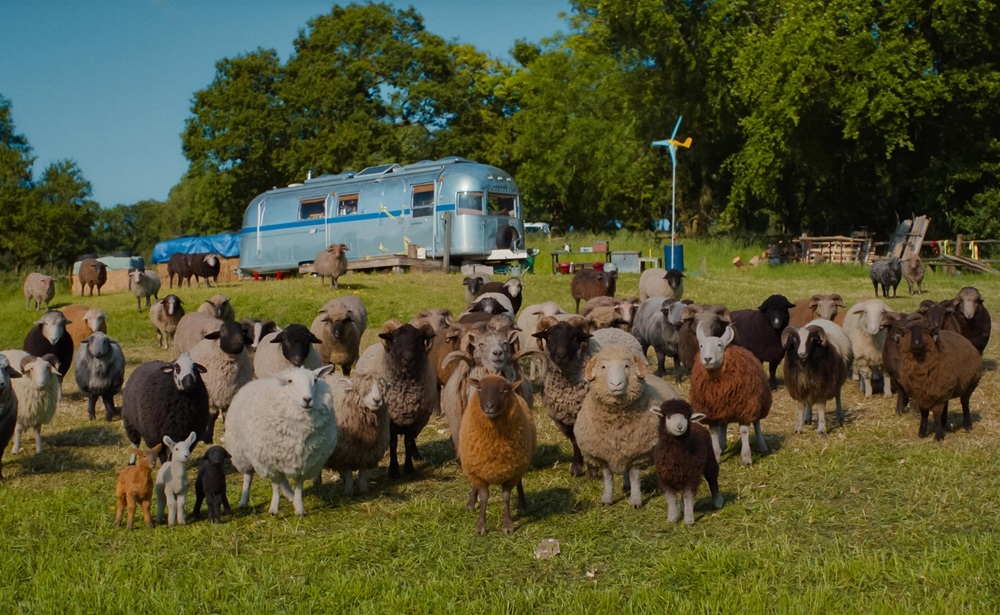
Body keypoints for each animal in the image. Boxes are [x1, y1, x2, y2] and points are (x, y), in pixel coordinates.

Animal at [226, 365, 339, 516]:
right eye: (290, 381)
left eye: (315, 380)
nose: (307, 399)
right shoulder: (270, 461)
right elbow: (275, 486)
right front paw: (274, 508)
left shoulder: (304, 461)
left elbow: (298, 485)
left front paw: (299, 508)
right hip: (241, 452)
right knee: (249, 476)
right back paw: (244, 501)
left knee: (283, 480)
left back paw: (290, 496)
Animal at [354, 322, 437, 479]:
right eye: (395, 339)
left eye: (420, 339)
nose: (408, 359)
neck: (404, 396)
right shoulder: (390, 420)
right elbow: (393, 444)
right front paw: (393, 470)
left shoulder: (413, 419)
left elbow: (408, 442)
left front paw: (409, 468)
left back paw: (416, 455)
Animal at [459, 375, 537, 534]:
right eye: (479, 388)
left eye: (504, 390)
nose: (489, 406)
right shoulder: (479, 471)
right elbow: (484, 497)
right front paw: (481, 526)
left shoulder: (512, 472)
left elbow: (506, 497)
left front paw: (507, 525)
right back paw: (471, 504)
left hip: (520, 465)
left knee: (519, 483)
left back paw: (523, 505)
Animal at [574, 343, 681, 507]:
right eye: (603, 366)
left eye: (626, 366)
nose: (616, 384)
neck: (616, 419)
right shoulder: (604, 454)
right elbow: (608, 478)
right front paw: (606, 499)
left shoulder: (639, 453)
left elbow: (634, 476)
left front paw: (636, 500)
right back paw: (625, 486)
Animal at [689, 324, 772, 466]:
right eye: (701, 346)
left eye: (719, 345)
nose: (707, 359)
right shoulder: (712, 412)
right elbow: (714, 433)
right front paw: (716, 455)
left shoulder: (745, 408)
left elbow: (744, 431)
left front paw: (746, 458)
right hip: (724, 409)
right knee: (724, 425)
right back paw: (722, 446)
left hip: (759, 403)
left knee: (757, 423)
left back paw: (762, 445)